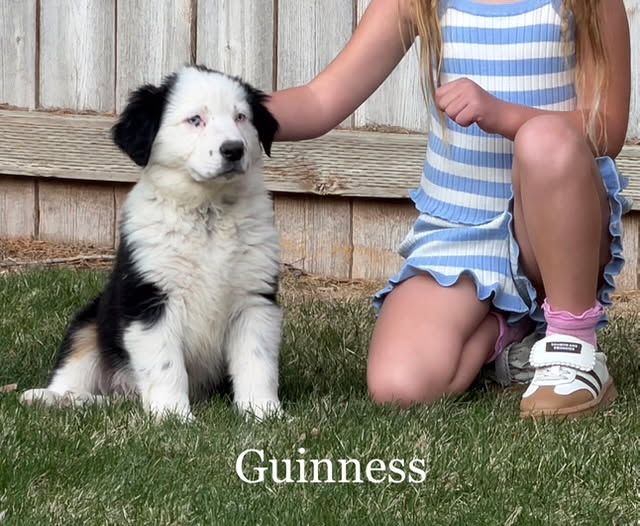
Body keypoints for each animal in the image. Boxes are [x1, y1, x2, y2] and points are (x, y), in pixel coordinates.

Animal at [21, 65, 282, 421]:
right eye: (195, 120)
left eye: (241, 117)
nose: (233, 149)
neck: (208, 213)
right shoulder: (150, 298)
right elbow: (165, 364)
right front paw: (174, 417)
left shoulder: (254, 298)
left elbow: (257, 361)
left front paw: (264, 413)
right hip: (89, 323)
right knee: (75, 371)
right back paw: (52, 398)